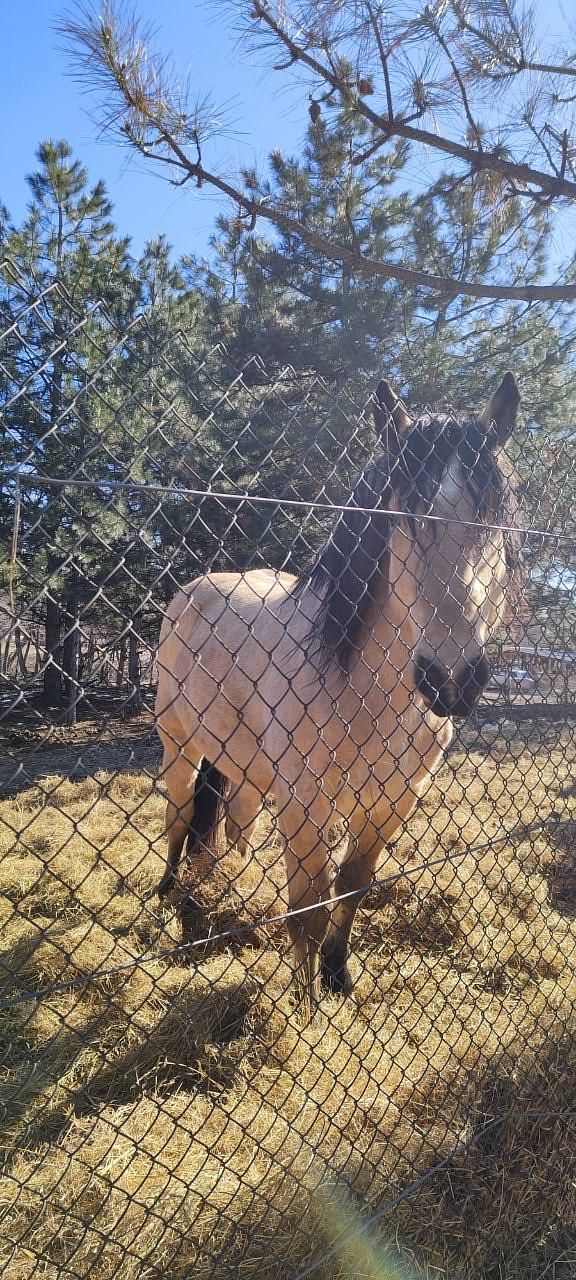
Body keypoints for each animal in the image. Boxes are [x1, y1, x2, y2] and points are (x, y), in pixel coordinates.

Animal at [154, 373, 522, 1018]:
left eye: (491, 524)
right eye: (403, 517)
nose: (451, 679)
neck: (364, 691)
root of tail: (194, 591)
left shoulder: (392, 800)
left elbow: (350, 887)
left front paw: (336, 975)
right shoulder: (306, 801)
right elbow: (308, 905)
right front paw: (304, 1006)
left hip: (248, 770)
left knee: (236, 826)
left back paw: (232, 885)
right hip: (179, 745)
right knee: (178, 815)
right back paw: (171, 891)